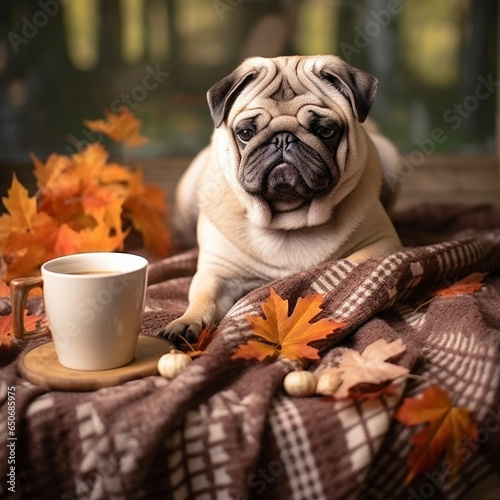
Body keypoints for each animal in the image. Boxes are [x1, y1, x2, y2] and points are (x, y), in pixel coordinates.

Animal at [160, 55, 402, 344]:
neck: (289, 221)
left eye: (325, 131)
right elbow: (203, 297)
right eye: (245, 133)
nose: (283, 138)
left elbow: (351, 264)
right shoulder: (217, 271)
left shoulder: (381, 244)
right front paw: (188, 321)